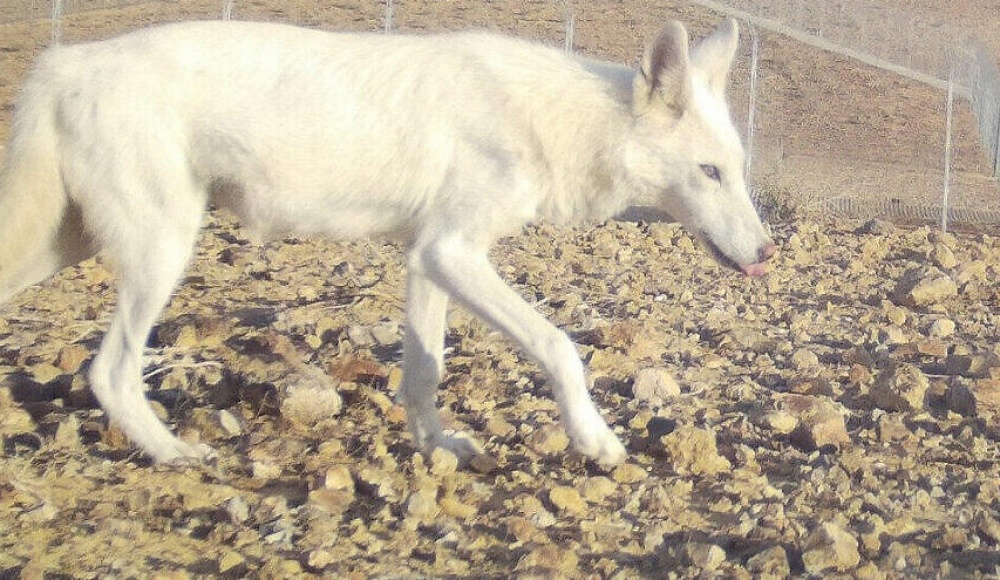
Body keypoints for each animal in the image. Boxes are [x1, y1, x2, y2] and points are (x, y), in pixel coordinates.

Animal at [0, 18, 774, 468]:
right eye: (710, 172)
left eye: (738, 169)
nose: (767, 254)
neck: (559, 121)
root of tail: (62, 63)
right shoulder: (454, 253)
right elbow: (561, 346)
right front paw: (598, 442)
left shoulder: (428, 259)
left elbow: (423, 373)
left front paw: (439, 449)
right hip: (163, 248)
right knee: (110, 372)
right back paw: (175, 454)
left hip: (67, 245)